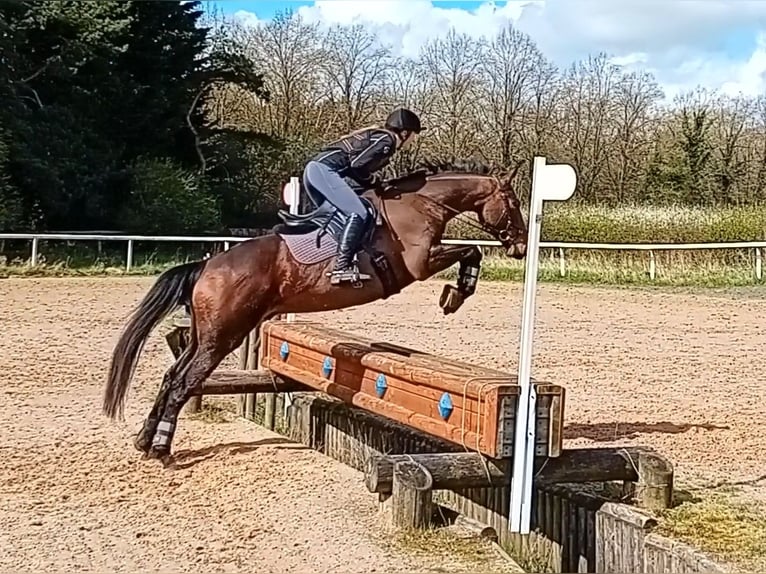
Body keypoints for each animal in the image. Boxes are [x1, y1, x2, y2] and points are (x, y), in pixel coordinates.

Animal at [103, 160, 528, 466]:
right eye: (513, 203)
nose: (522, 246)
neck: (420, 204)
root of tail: (205, 266)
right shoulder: (418, 264)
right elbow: (471, 250)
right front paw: (455, 294)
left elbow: (470, 250)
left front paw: (456, 293)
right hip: (224, 335)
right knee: (183, 381)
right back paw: (161, 448)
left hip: (205, 334)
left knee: (172, 375)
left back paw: (144, 439)